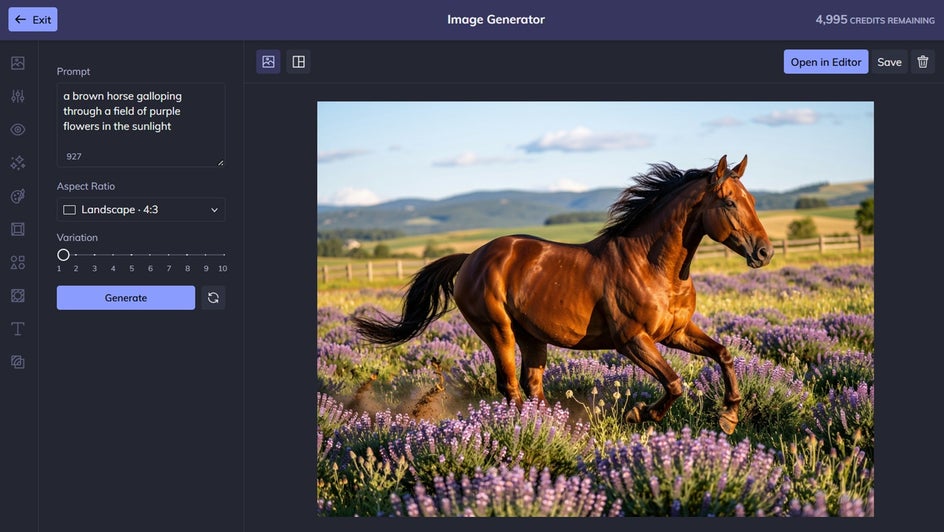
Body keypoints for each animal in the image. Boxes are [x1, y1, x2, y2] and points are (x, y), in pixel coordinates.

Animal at [353, 155, 773, 434]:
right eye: (729, 202)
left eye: (753, 201)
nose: (764, 252)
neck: (654, 267)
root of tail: (471, 257)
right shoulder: (632, 340)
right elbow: (673, 383)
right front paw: (639, 414)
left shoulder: (676, 332)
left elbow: (723, 354)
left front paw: (729, 416)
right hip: (498, 331)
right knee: (511, 388)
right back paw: (531, 435)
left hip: (532, 337)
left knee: (531, 386)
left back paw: (552, 430)